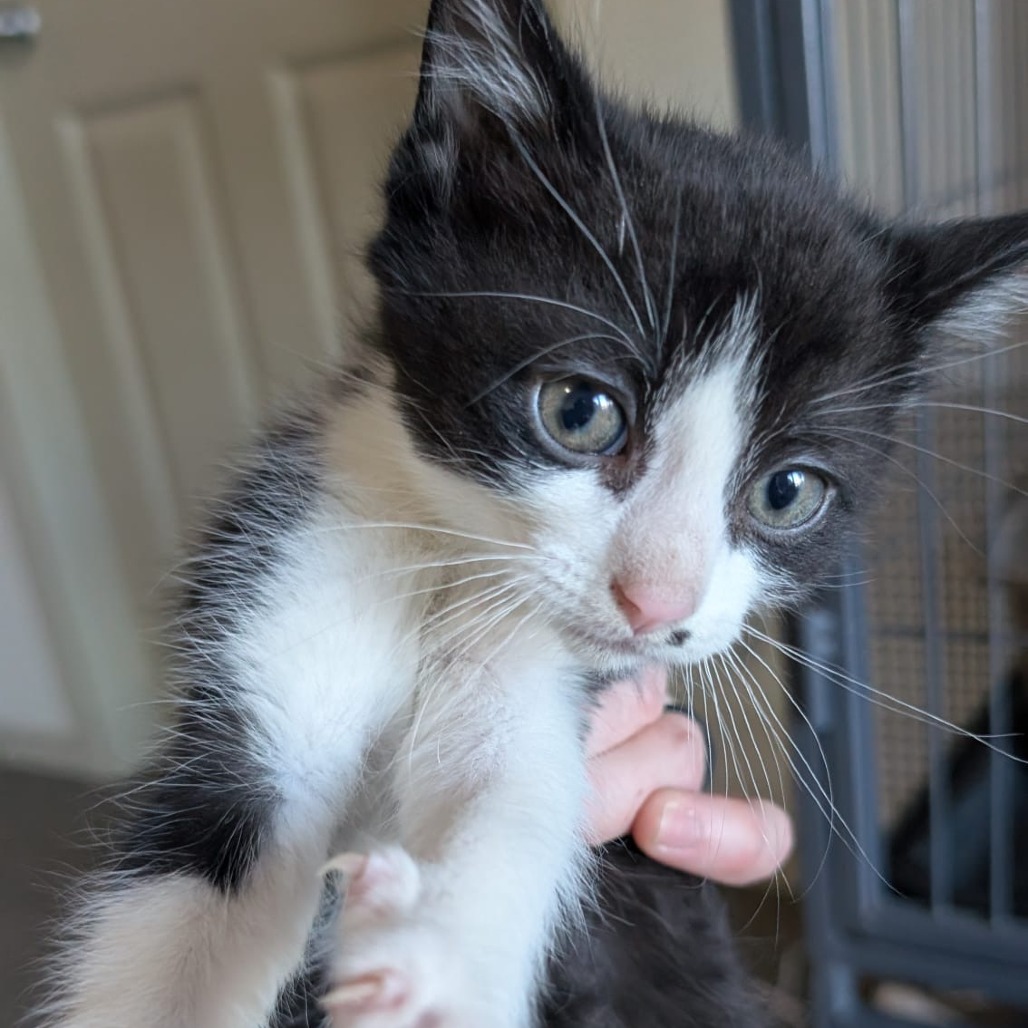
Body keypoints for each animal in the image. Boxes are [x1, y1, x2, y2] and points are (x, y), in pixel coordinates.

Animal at [37, 0, 1028, 1025]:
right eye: (580, 411)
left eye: (788, 491)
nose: (658, 603)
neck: (446, 559)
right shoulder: (280, 593)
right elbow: (193, 893)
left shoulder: (552, 687)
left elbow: (511, 793)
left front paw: (431, 961)